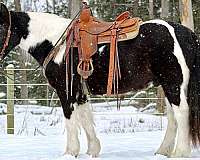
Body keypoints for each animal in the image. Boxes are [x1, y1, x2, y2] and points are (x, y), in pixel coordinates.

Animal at [0, 2, 200, 159]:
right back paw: (163, 151)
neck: (56, 43)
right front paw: (92, 151)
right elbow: (85, 118)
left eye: (1, 27)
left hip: (173, 83)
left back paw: (180, 152)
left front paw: (70, 152)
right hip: (167, 85)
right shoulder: (80, 92)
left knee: (181, 112)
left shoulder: (66, 90)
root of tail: (185, 33)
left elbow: (71, 120)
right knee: (173, 117)